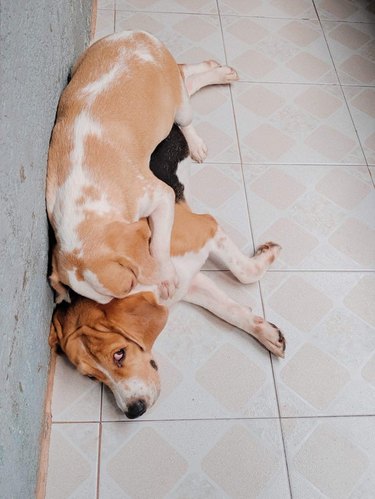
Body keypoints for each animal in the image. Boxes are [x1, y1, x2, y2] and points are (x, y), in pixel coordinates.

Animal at [46, 32, 238, 304]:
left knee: (185, 108)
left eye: (129, 283)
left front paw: (166, 276)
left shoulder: (162, 196)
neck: (82, 194)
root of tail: (136, 34)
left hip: (180, 107)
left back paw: (197, 138)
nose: (157, 299)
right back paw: (216, 69)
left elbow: (159, 245)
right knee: (185, 75)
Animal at [49, 124, 284, 418]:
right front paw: (266, 333)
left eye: (119, 354)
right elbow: (231, 312)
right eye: (92, 377)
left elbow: (244, 273)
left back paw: (195, 144)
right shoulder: (191, 283)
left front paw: (268, 255)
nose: (133, 410)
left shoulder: (206, 228)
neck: (146, 287)